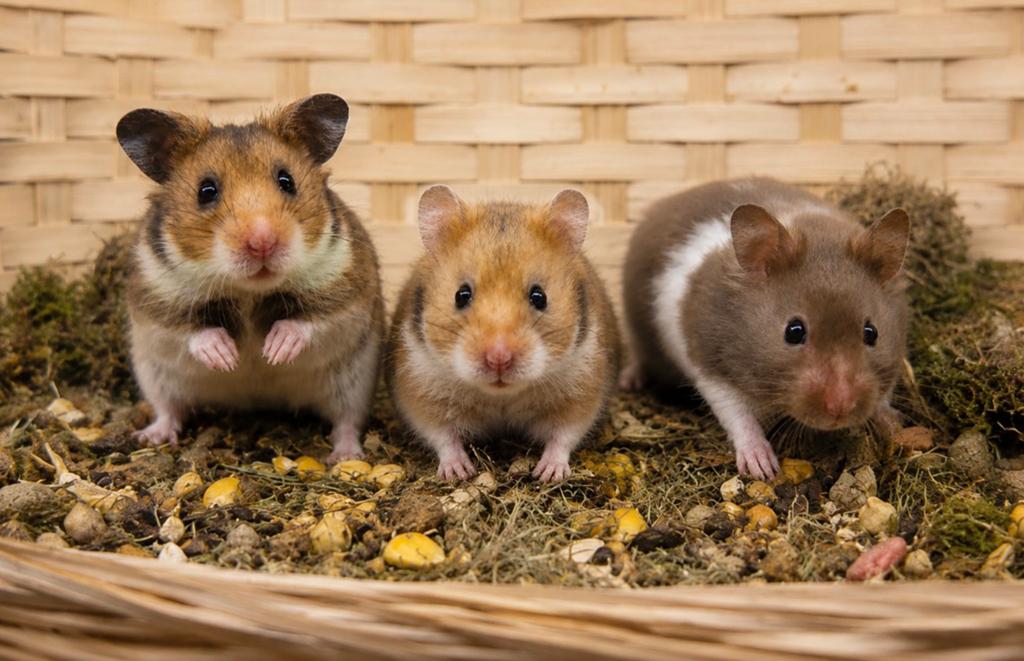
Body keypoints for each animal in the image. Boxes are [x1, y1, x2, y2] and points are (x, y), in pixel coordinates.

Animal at [117, 93, 384, 462]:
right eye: (206, 190)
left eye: (287, 181)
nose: (262, 242)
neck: (248, 291)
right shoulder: (156, 305)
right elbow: (192, 332)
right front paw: (228, 358)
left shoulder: (346, 297)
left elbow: (308, 322)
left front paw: (272, 352)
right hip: (155, 376)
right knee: (168, 409)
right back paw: (150, 436)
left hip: (353, 383)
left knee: (346, 421)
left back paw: (345, 456)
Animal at [385, 186, 621, 481]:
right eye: (461, 295)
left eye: (539, 297)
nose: (499, 359)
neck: (500, 396)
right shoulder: (421, 393)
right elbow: (443, 438)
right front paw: (459, 472)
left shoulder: (581, 393)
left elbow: (563, 436)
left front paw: (547, 474)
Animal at [621, 178, 909, 479]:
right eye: (794, 332)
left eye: (871, 333)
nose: (839, 410)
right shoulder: (711, 368)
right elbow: (738, 416)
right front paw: (763, 469)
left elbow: (883, 397)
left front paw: (894, 426)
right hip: (637, 329)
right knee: (640, 357)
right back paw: (629, 381)